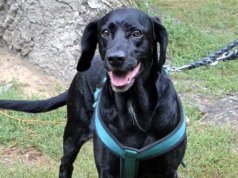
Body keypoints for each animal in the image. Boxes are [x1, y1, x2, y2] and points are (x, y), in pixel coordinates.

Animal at [0, 7, 186, 177]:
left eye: (137, 32)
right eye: (105, 32)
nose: (115, 58)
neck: (132, 105)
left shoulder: (168, 171)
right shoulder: (107, 169)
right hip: (73, 134)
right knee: (65, 165)